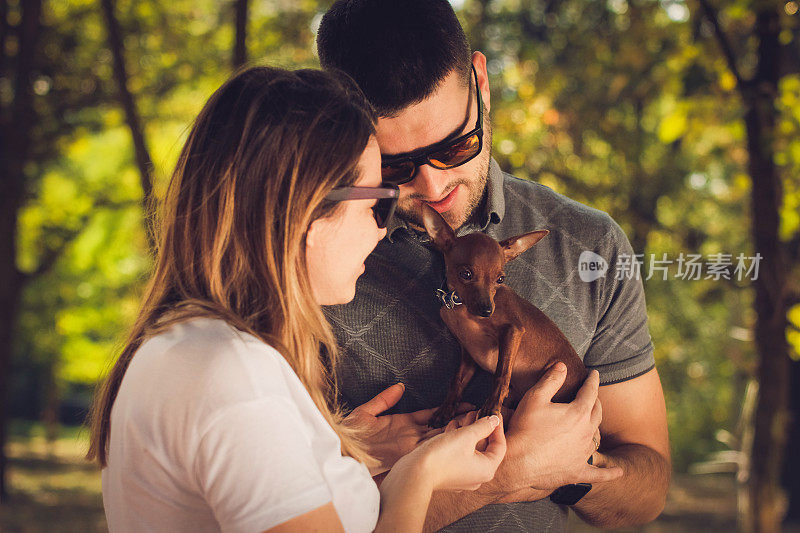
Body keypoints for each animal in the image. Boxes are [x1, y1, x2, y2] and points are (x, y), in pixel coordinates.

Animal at [422, 205, 592, 428]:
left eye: (500, 279)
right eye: (466, 274)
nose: (487, 310)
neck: (461, 308)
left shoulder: (513, 330)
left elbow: (502, 374)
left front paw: (491, 408)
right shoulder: (469, 354)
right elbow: (456, 381)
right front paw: (445, 411)